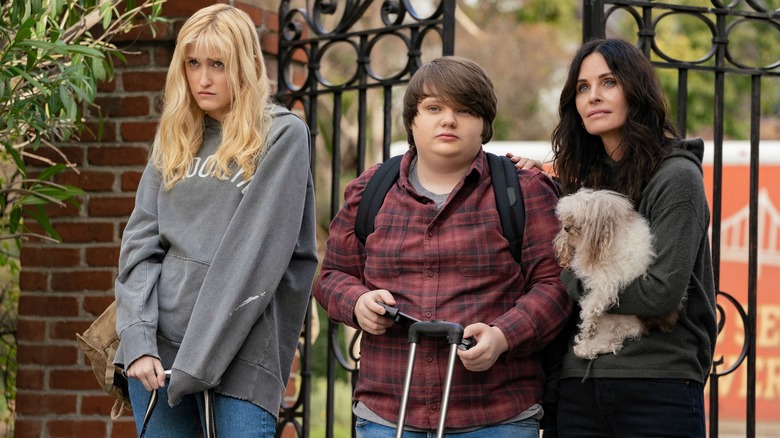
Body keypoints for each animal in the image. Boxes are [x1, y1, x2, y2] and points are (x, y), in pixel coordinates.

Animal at [552, 188, 680, 360]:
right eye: (566, 217)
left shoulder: (610, 279)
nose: (566, 228)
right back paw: (586, 347)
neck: (607, 244)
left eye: (579, 218)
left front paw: (589, 321)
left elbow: (595, 301)